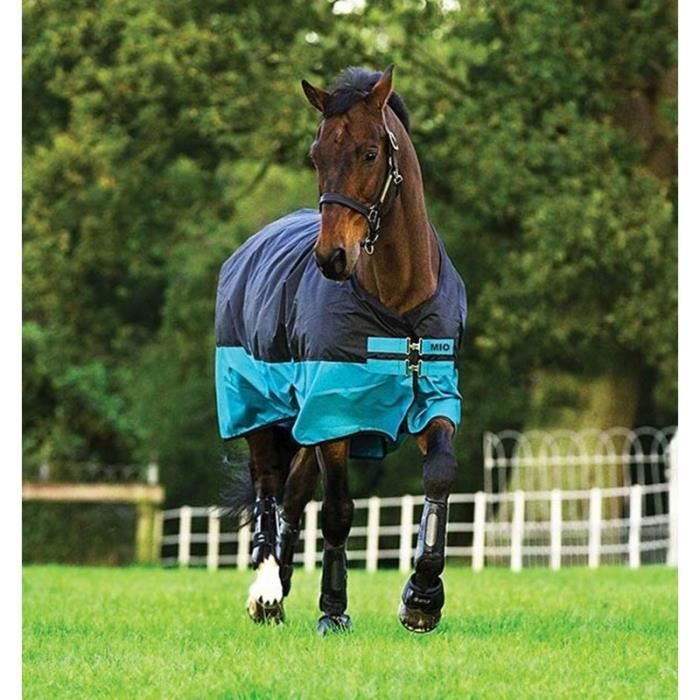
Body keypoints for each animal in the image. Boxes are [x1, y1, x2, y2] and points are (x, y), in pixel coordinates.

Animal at [215, 65, 467, 634]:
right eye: (316, 154)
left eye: (371, 153)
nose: (332, 256)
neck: (397, 301)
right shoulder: (335, 413)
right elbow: (338, 511)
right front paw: (333, 610)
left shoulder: (434, 396)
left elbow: (440, 475)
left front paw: (423, 597)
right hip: (261, 410)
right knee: (269, 489)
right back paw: (267, 591)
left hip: (303, 426)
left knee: (291, 496)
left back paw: (282, 586)